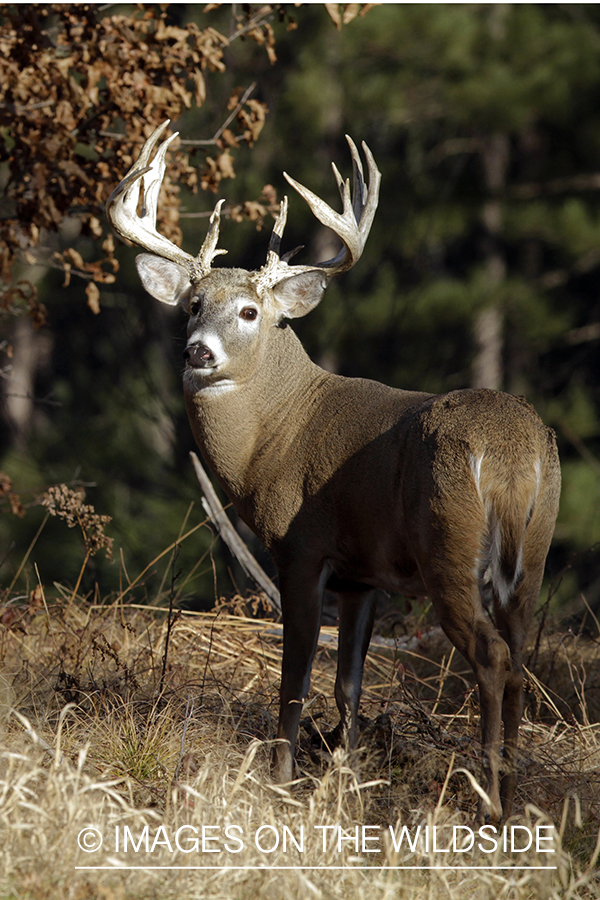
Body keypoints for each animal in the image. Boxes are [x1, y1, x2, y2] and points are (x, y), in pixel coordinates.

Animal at [105, 121, 560, 824]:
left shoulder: (302, 547)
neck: (276, 435)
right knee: (518, 655)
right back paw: (509, 798)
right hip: (531, 556)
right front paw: (343, 787)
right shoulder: (360, 575)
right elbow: (349, 684)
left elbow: (294, 678)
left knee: (491, 656)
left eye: (250, 312)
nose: (197, 352)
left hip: (449, 546)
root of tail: (514, 452)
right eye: (192, 305)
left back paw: (486, 801)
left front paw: (280, 782)